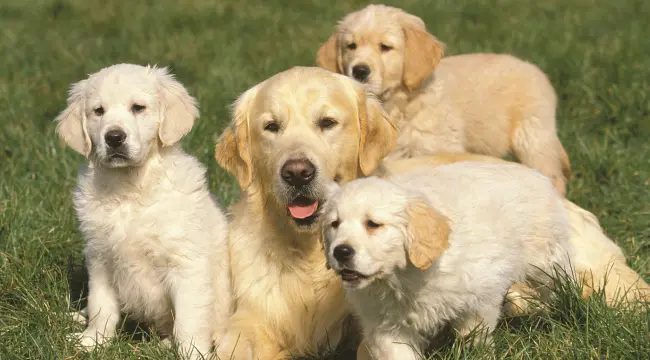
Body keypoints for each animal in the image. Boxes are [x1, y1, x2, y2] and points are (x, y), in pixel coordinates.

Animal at [54, 63, 230, 358]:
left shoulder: (186, 264)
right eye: (98, 111)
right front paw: (92, 341)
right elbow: (101, 305)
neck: (129, 190)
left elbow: (188, 321)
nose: (114, 137)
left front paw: (192, 353)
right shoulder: (101, 258)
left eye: (138, 107)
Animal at [316, 3, 568, 197]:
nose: (359, 70)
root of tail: (535, 69)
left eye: (385, 47)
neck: (399, 103)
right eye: (351, 46)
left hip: (533, 138)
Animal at [322, 162, 568, 358]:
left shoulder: (480, 295)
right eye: (334, 224)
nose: (340, 252)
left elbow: (474, 335)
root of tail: (533, 173)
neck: (402, 278)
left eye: (373, 224)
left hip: (546, 259)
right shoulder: (386, 327)